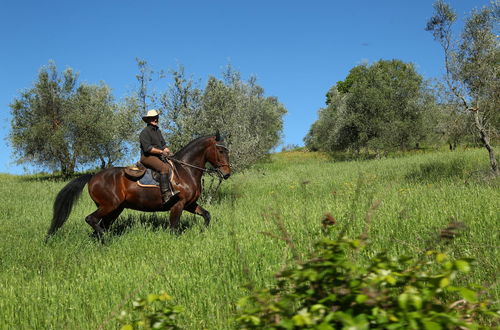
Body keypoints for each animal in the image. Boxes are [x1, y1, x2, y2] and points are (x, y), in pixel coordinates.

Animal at [47, 133, 232, 238]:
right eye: (221, 150)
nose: (227, 173)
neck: (185, 170)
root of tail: (93, 176)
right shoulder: (178, 205)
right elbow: (173, 229)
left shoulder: (190, 204)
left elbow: (207, 215)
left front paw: (203, 232)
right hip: (109, 205)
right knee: (91, 219)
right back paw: (106, 240)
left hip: (115, 208)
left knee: (100, 224)